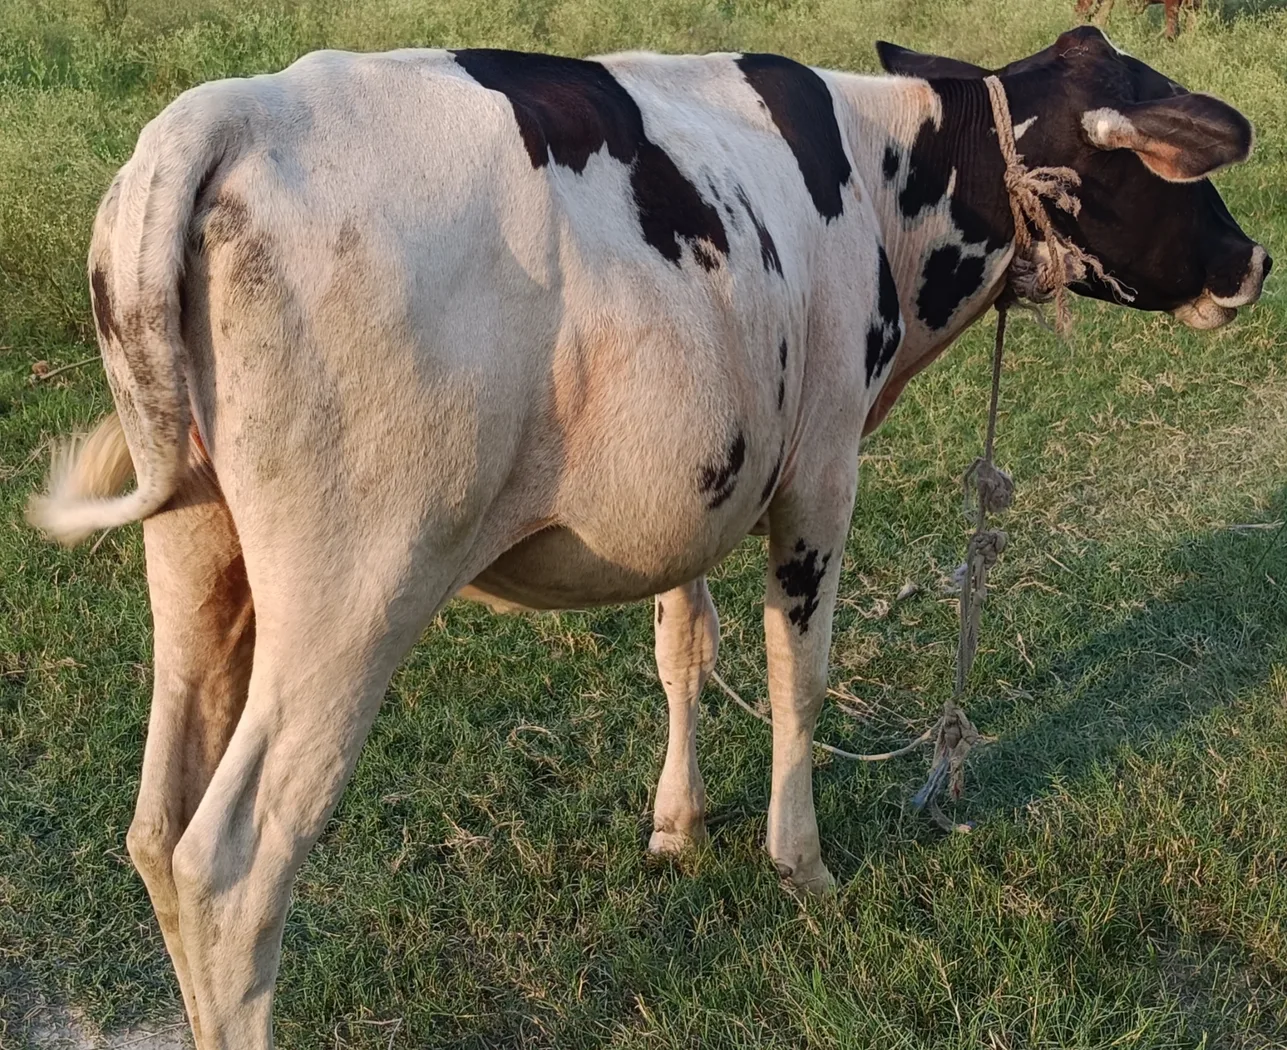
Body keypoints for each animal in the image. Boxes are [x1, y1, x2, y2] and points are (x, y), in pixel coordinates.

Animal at [27, 25, 1269, 1049]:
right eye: (1167, 167)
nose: (1253, 262)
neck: (877, 177)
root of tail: (219, 118)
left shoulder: (697, 483)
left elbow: (684, 647)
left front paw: (676, 826)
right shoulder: (820, 469)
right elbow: (798, 674)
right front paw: (800, 863)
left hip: (196, 551)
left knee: (157, 829)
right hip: (353, 587)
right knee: (232, 865)